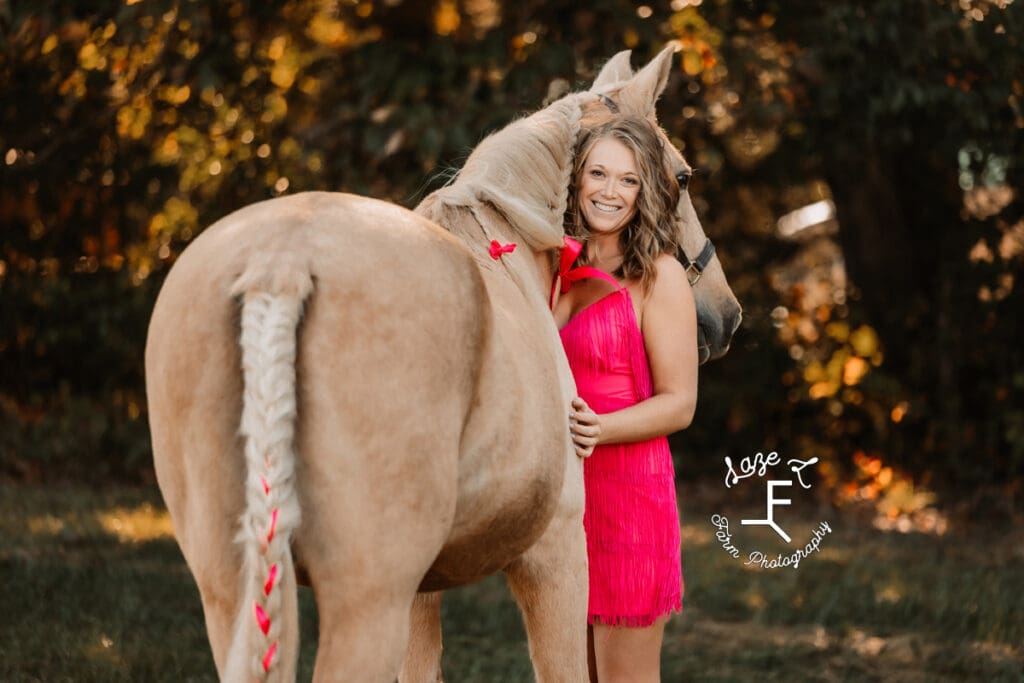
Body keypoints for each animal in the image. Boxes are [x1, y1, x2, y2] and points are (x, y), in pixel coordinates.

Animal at [146, 45, 737, 679]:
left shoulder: (422, 592)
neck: (507, 246)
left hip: (231, 593)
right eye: (681, 176)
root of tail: (281, 261)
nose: (725, 317)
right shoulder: (556, 556)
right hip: (366, 603)